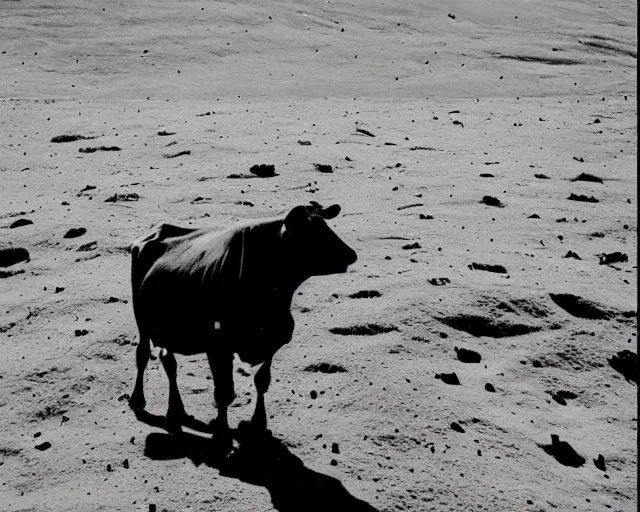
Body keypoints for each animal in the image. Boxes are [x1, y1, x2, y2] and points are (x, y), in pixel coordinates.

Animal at [127, 202, 358, 442]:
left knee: (168, 361)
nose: (351, 254)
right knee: (143, 354)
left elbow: (262, 381)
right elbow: (224, 392)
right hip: (141, 318)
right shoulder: (218, 346)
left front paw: (258, 423)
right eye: (311, 232)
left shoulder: (276, 338)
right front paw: (221, 433)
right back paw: (138, 399)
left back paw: (177, 411)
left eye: (326, 226)